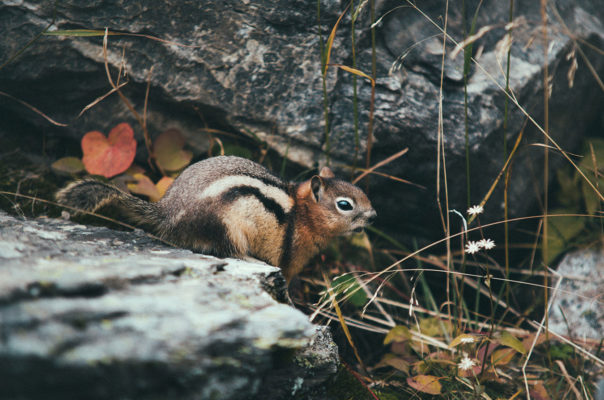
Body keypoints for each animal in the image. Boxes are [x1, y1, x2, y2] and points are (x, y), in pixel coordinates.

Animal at [57, 155, 378, 280]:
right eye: (345, 205)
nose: (374, 216)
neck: (302, 213)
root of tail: (167, 211)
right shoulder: (289, 260)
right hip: (225, 227)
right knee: (229, 250)